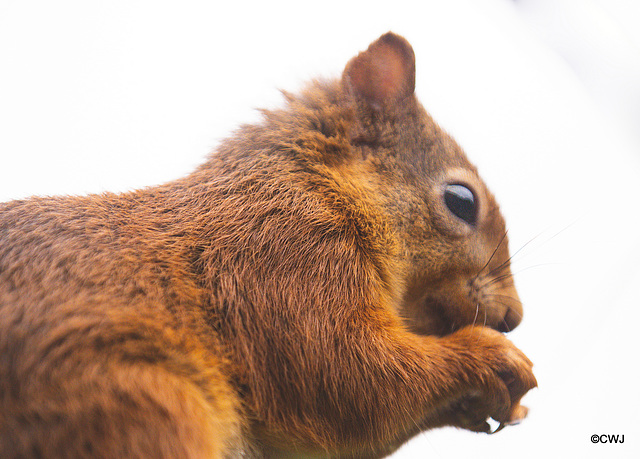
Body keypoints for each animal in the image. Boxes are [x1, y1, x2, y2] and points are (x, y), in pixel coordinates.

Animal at [1, 34, 536, 458]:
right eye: (461, 200)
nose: (513, 316)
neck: (318, 187)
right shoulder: (283, 256)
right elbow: (351, 378)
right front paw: (494, 359)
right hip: (139, 403)